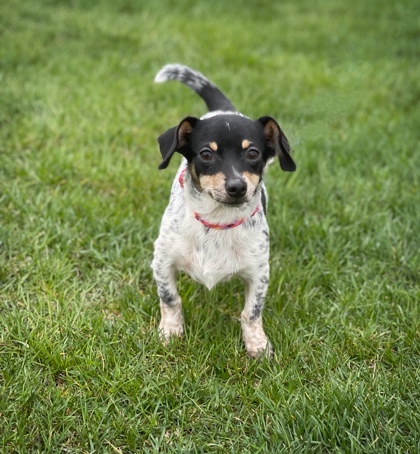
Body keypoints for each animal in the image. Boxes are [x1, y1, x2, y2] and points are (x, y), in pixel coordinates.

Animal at [151, 63, 296, 356]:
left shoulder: (258, 272)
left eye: (253, 153)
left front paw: (257, 345)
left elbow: (251, 312)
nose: (237, 186)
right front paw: (170, 332)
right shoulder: (162, 260)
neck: (217, 222)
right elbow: (170, 299)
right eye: (206, 154)